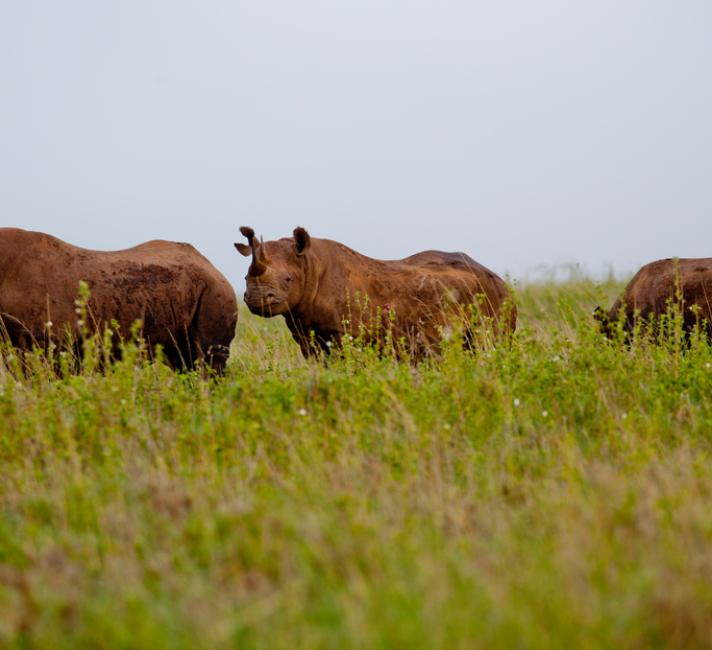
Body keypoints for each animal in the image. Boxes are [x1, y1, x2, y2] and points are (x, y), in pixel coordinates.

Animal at [236, 227, 516, 360]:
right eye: (245, 279)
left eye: (288, 279)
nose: (257, 299)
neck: (309, 265)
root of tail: (498, 278)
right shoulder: (306, 332)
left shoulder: (345, 334)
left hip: (495, 298)